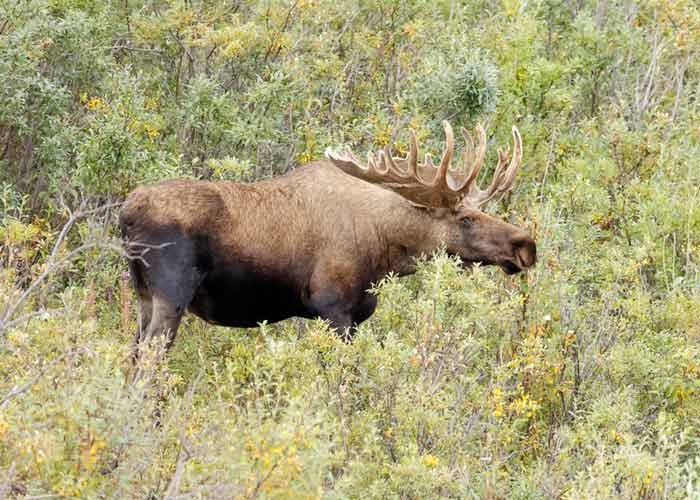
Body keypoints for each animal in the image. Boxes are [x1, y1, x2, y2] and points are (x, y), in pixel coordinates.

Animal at [120, 120, 536, 356]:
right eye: (466, 218)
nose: (525, 245)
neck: (385, 251)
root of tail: (126, 216)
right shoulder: (333, 306)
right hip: (171, 294)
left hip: (143, 295)